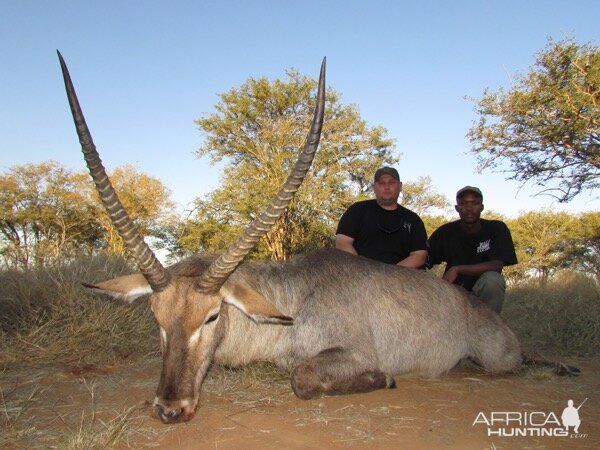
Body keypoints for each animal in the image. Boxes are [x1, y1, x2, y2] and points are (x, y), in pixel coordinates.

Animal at [58, 51, 524, 424]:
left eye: (212, 316)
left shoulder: (350, 353)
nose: (171, 410)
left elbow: (302, 377)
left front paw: (386, 379)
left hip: (500, 360)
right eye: (156, 317)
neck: (295, 299)